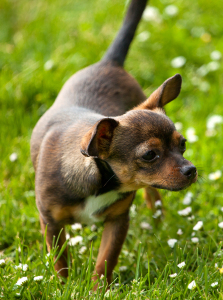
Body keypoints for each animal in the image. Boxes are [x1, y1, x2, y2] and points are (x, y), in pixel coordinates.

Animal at [30, 0, 197, 288]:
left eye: (183, 144)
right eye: (150, 155)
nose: (191, 170)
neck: (101, 180)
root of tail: (109, 62)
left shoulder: (118, 220)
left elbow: (105, 260)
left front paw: (98, 289)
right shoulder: (51, 223)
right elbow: (61, 263)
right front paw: (64, 287)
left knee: (152, 194)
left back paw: (159, 223)